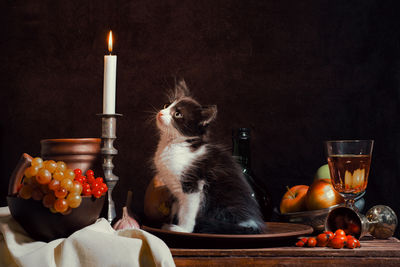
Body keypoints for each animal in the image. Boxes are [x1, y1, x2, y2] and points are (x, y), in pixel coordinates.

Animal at [153, 80, 266, 234]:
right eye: (166, 105)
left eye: (177, 113)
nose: (160, 113)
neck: (172, 144)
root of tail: (253, 224)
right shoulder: (176, 190)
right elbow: (177, 207)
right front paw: (172, 223)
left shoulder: (193, 185)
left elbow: (187, 210)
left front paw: (183, 229)